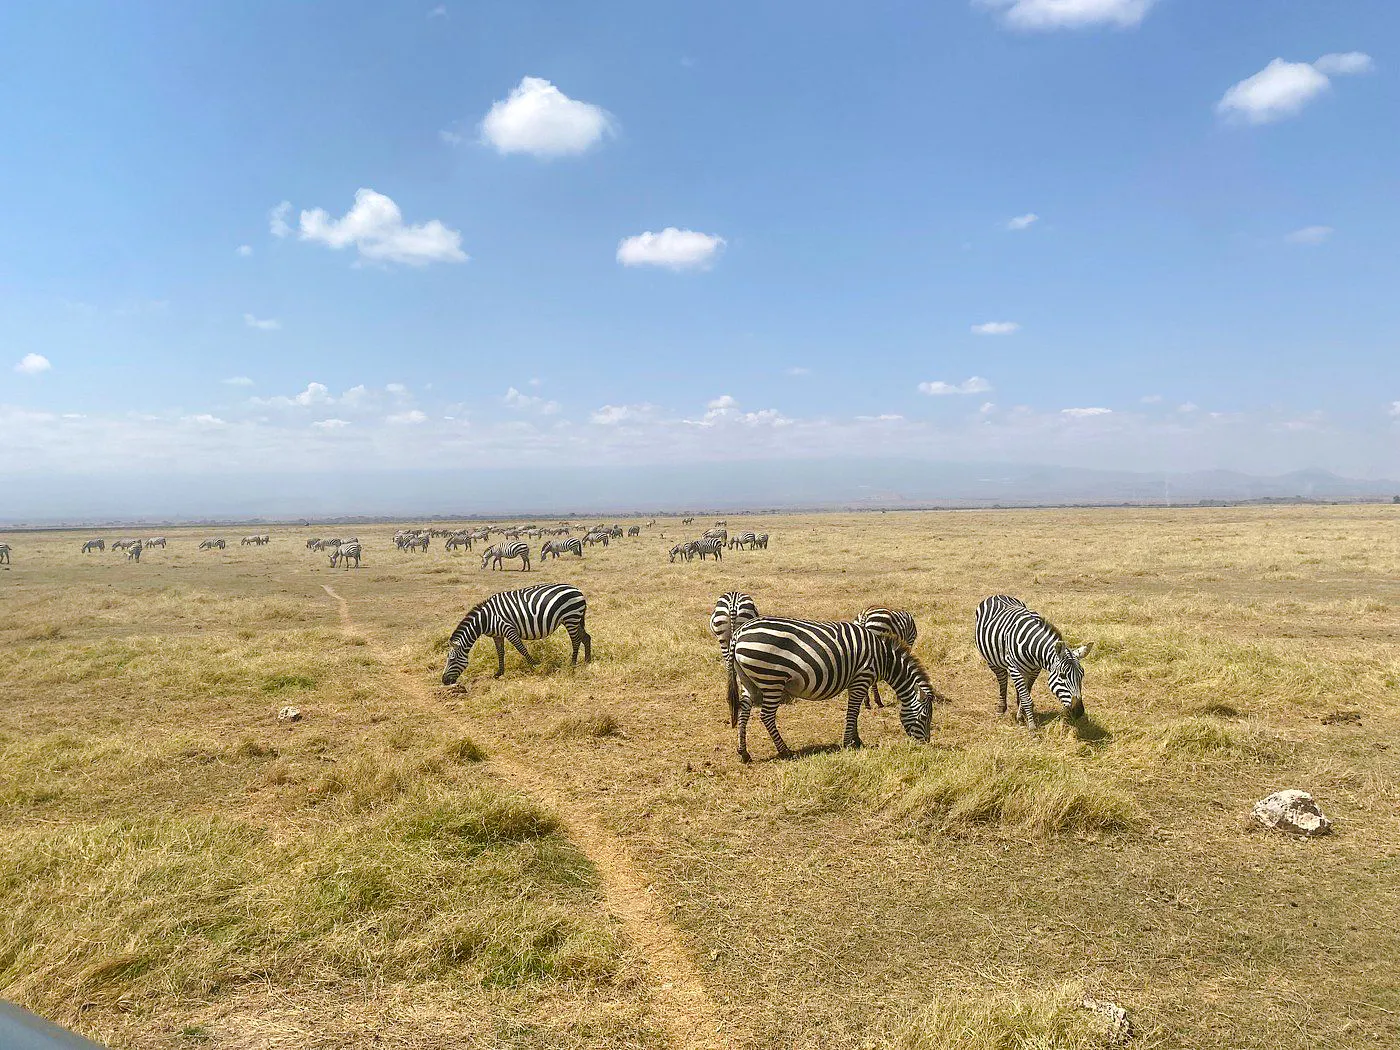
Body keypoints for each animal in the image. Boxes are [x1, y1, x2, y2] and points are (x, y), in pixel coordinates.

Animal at [440, 583, 591, 683]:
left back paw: (572, 664)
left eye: (452, 659)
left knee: (576, 640)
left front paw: (536, 667)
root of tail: (578, 590)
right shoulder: (497, 635)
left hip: (571, 617)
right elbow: (500, 653)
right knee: (586, 637)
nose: (444, 681)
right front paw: (499, 673)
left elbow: (522, 649)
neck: (485, 619)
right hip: (575, 619)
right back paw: (587, 661)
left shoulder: (509, 630)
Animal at [727, 617, 936, 762]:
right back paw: (785, 751)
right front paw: (849, 743)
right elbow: (852, 712)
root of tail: (738, 633)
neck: (884, 659)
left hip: (748, 680)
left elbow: (855, 712)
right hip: (772, 679)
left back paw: (744, 753)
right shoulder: (861, 678)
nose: (925, 745)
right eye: (925, 718)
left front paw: (856, 740)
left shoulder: (857, 682)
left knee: (744, 711)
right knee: (766, 716)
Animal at [974, 595, 1092, 734]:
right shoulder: (1015, 668)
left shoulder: (1035, 670)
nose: (1079, 712)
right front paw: (1031, 727)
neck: (1032, 647)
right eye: (1062, 675)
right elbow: (1027, 698)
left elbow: (1026, 693)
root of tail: (998, 595)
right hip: (993, 661)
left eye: (1082, 675)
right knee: (1002, 680)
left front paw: (1021, 716)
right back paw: (1001, 708)